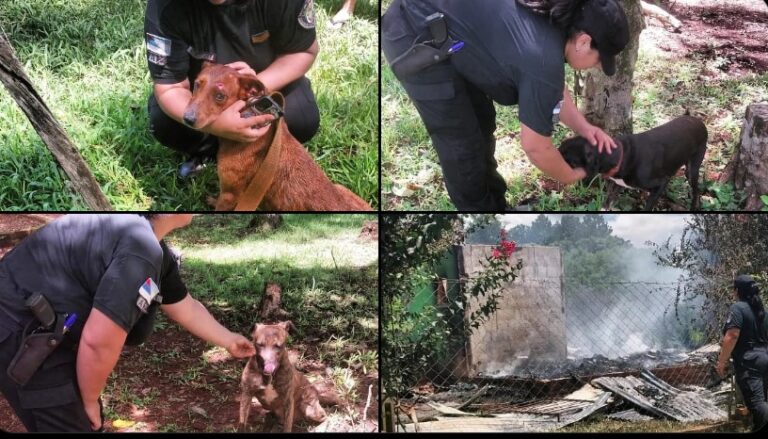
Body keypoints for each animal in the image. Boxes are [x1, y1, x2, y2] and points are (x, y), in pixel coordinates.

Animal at [560, 115, 708, 211]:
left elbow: (647, 207)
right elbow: (607, 203)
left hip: (691, 170)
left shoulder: (661, 182)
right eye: (561, 146)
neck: (621, 155)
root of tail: (698, 121)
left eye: (570, 160)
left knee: (696, 190)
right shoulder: (616, 185)